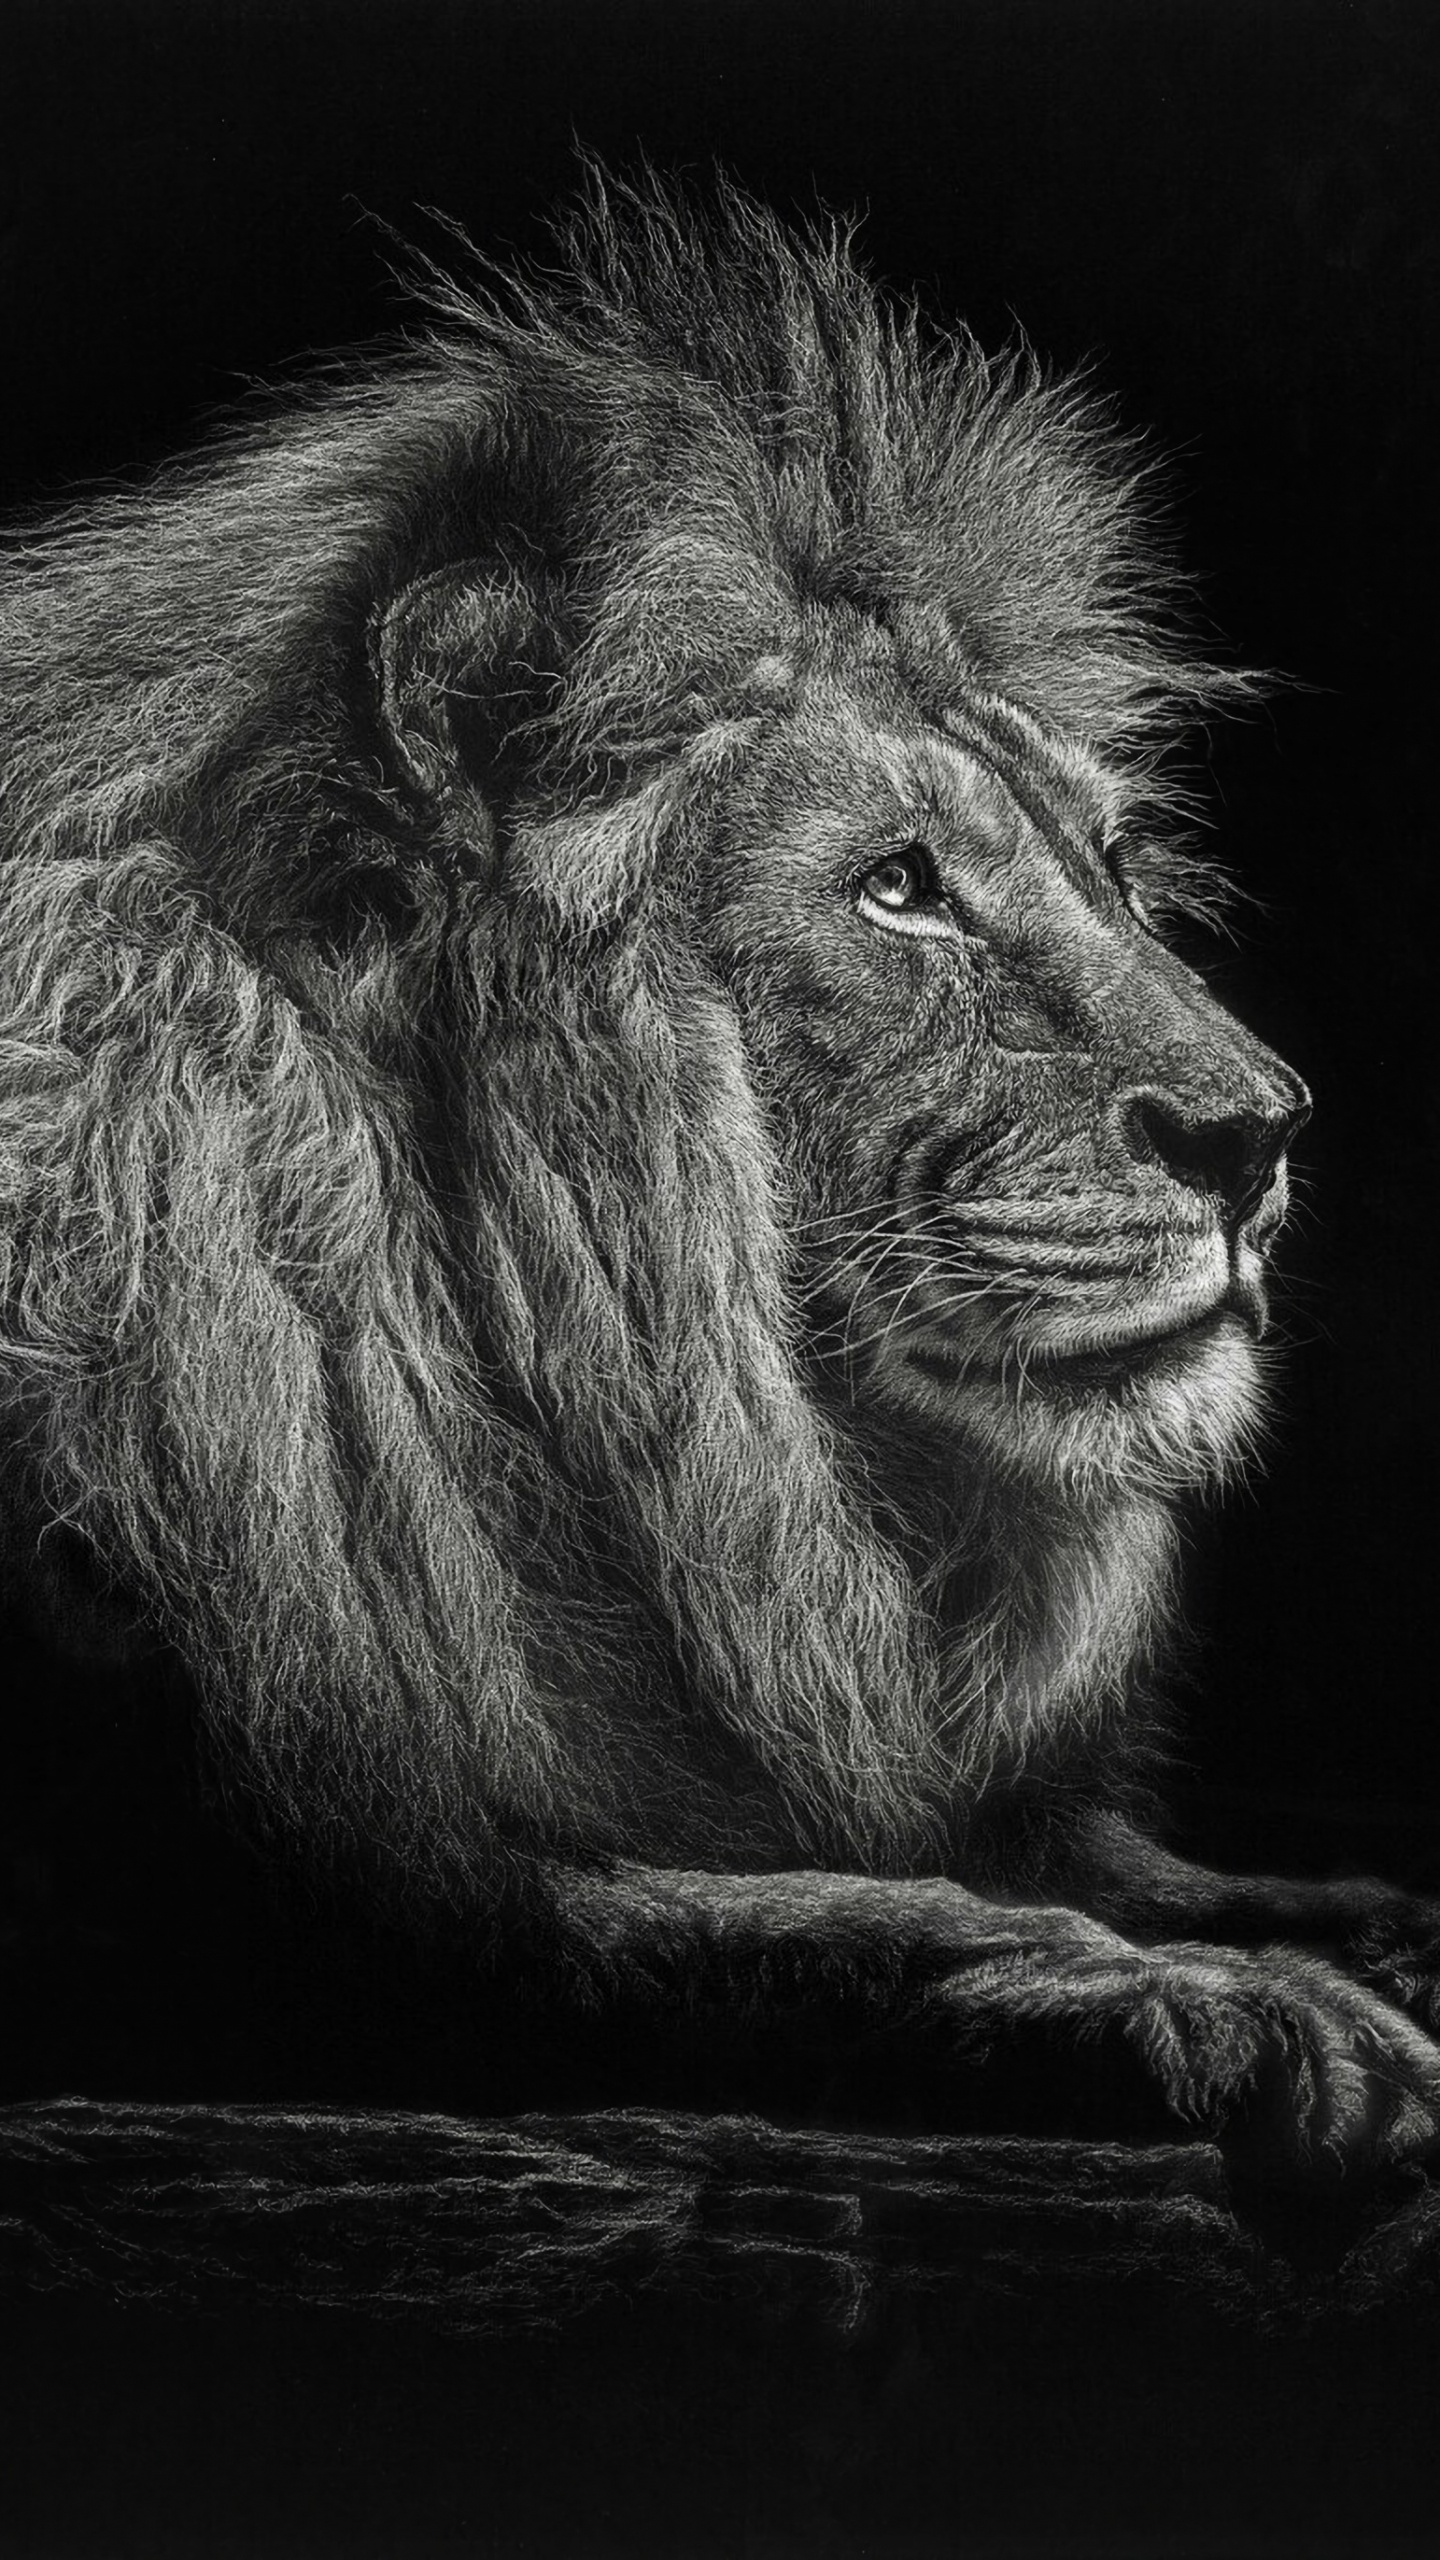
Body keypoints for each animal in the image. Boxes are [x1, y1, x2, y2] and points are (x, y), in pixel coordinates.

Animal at [2, 170, 1438, 2169]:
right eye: (897, 888)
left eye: (1113, 864)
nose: (1262, 1132)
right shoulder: (349, 1900)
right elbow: (831, 1923)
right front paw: (1225, 2006)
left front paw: (1336, 1924)